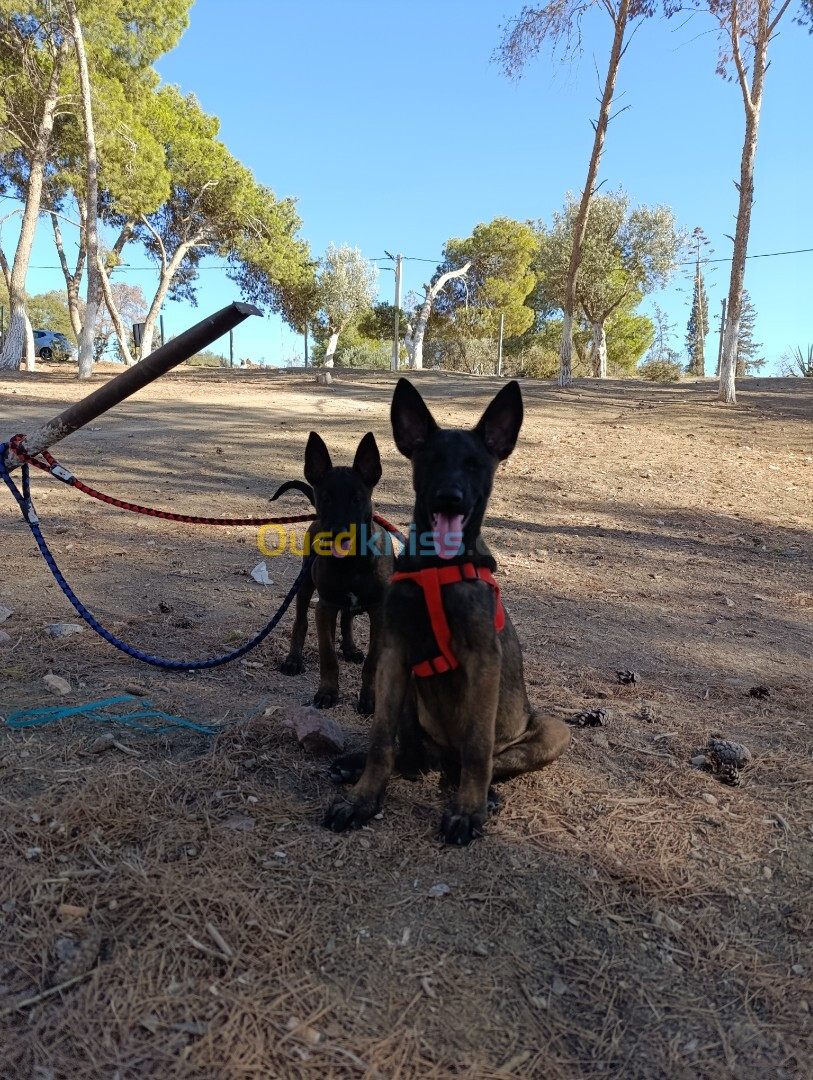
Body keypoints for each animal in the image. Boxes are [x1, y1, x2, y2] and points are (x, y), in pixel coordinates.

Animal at [323, 380, 570, 842]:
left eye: (475, 465)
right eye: (433, 461)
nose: (449, 498)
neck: (437, 568)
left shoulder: (483, 660)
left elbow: (478, 748)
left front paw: (468, 810)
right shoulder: (394, 656)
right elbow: (380, 741)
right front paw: (361, 800)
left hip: (553, 728)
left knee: (478, 761)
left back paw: (485, 792)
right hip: (409, 701)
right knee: (410, 757)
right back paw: (359, 764)